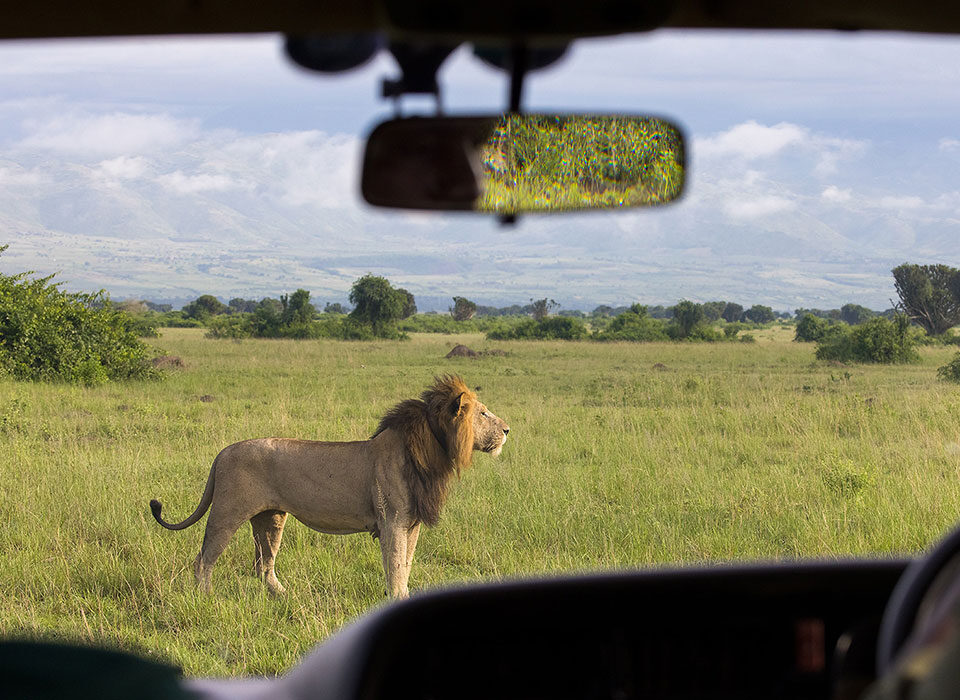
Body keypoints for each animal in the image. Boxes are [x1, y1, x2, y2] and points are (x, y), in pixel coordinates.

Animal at [149, 375, 509, 598]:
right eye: (483, 413)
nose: (507, 429)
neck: (434, 448)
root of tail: (222, 452)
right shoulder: (392, 520)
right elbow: (395, 564)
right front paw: (396, 598)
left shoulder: (412, 522)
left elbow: (406, 563)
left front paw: (404, 594)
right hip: (227, 512)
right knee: (204, 558)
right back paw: (206, 597)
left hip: (270, 518)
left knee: (263, 563)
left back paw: (283, 595)